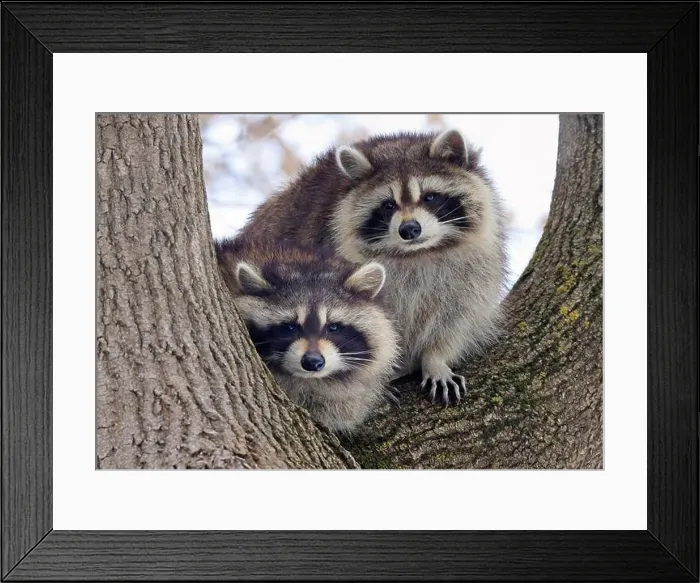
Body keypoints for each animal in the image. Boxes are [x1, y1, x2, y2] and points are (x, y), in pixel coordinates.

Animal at [240, 129, 508, 406]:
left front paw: (436, 359)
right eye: (388, 205)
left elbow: (457, 316)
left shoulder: (475, 268)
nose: (409, 229)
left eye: (430, 197)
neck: (417, 253)